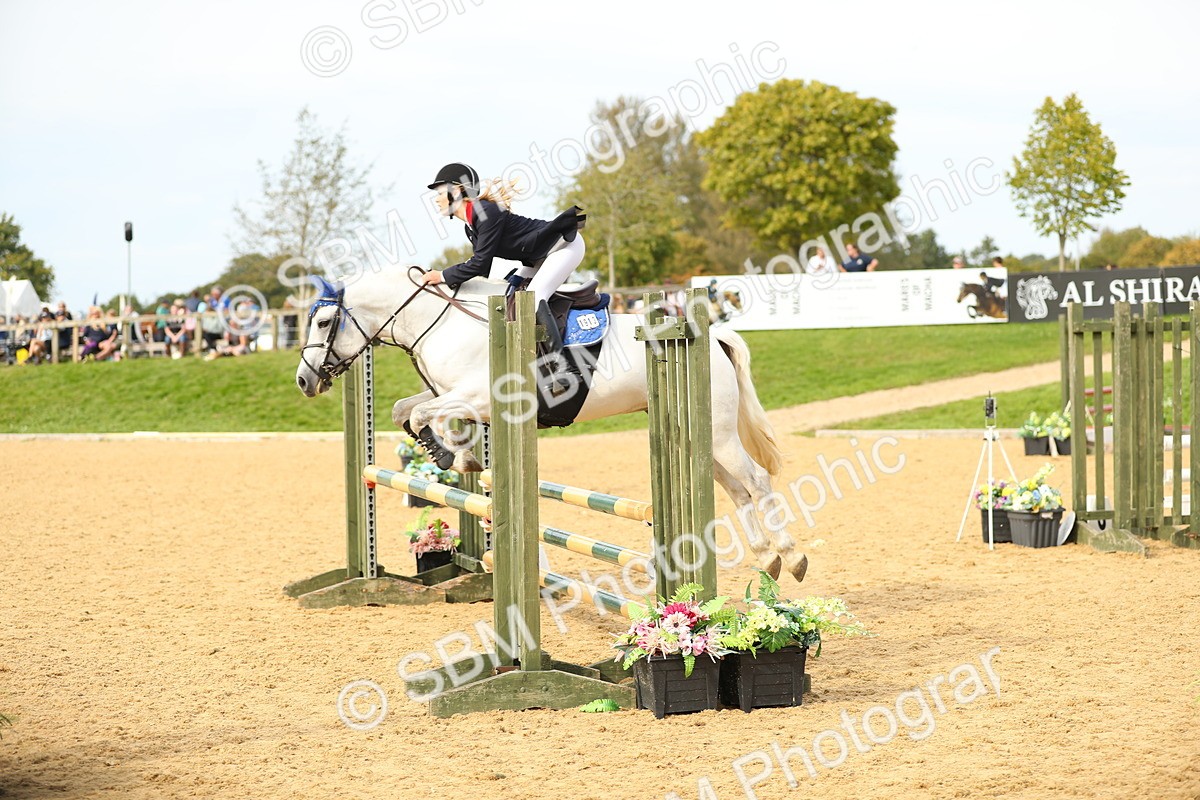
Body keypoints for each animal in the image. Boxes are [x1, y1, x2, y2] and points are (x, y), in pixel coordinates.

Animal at [295, 268, 809, 584]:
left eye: (323, 321)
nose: (303, 381)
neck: (438, 322)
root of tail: (710, 334)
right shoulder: (453, 392)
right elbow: (407, 410)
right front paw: (453, 452)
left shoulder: (480, 394)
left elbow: (425, 415)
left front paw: (454, 454)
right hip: (694, 435)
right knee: (737, 489)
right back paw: (767, 558)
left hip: (718, 435)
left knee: (756, 481)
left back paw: (791, 555)